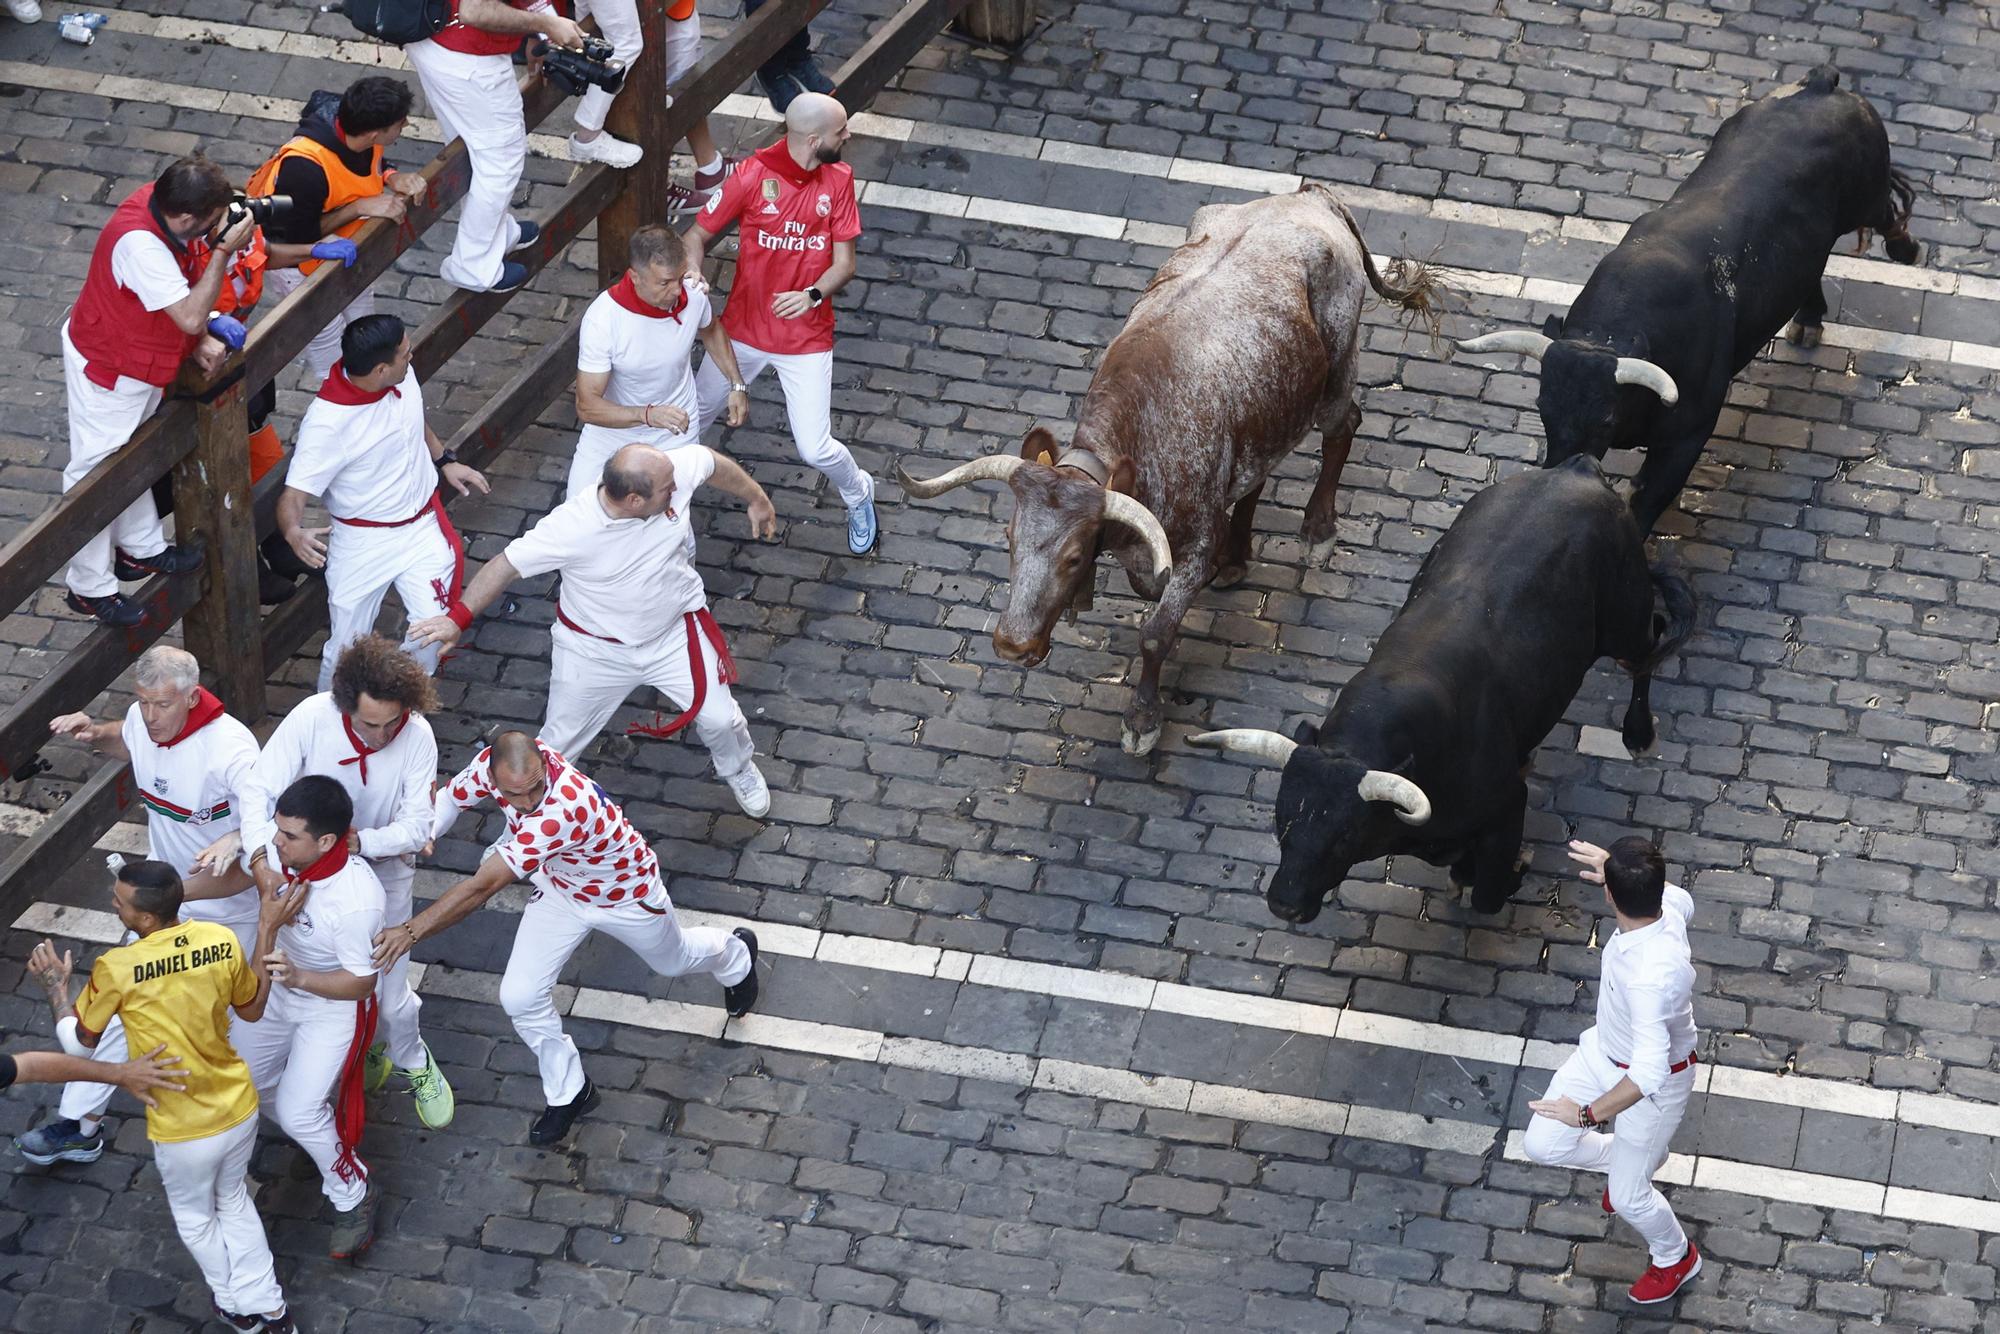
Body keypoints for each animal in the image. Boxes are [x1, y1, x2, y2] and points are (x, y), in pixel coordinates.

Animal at [1192, 460, 1696, 928]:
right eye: (1282, 820)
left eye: (1345, 835)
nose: (1285, 904)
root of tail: (1578, 469)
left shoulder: (1508, 805)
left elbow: (1488, 895)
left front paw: (1511, 871)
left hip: (1623, 619)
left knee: (1650, 642)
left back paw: (1638, 732)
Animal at [1464, 61, 1912, 532]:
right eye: (1542, 405)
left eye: (1605, 418)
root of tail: (1819, 83)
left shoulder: (1688, 434)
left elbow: (1646, 499)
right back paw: (1808, 320)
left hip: (1867, 195)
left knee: (1887, 215)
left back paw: (1906, 250)